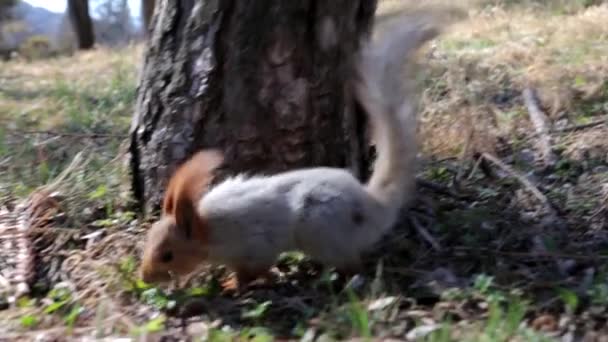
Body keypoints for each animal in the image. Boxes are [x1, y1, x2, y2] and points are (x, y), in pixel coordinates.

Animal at [139, 12, 446, 288]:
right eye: (148, 242)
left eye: (168, 256)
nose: (145, 278)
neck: (208, 228)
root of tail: (370, 207)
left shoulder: (253, 245)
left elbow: (254, 269)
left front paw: (234, 284)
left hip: (320, 231)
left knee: (353, 263)